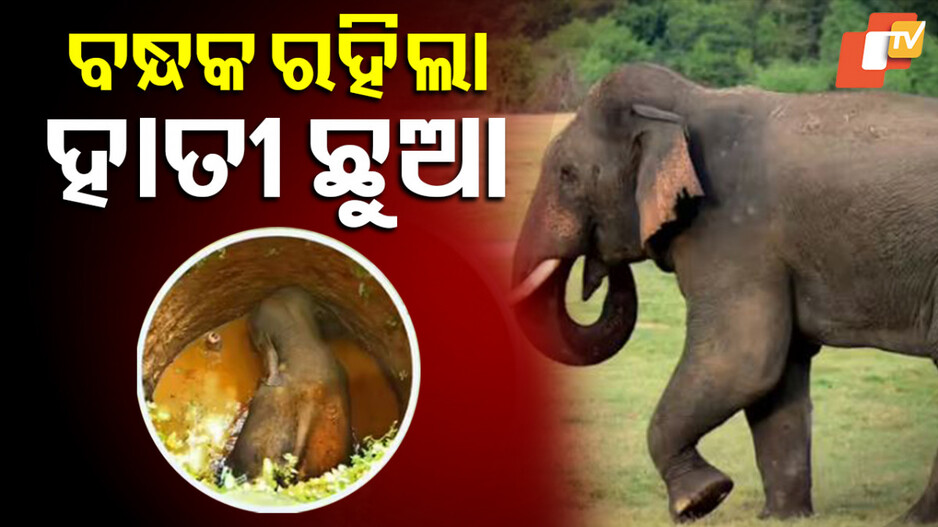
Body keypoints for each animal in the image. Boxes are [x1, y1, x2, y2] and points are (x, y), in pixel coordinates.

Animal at [510, 63, 937, 524]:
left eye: (567, 174)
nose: (602, 269)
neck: (690, 101)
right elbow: (778, 373)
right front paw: (782, 518)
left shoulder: (731, 230)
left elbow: (741, 360)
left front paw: (700, 498)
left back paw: (911, 519)